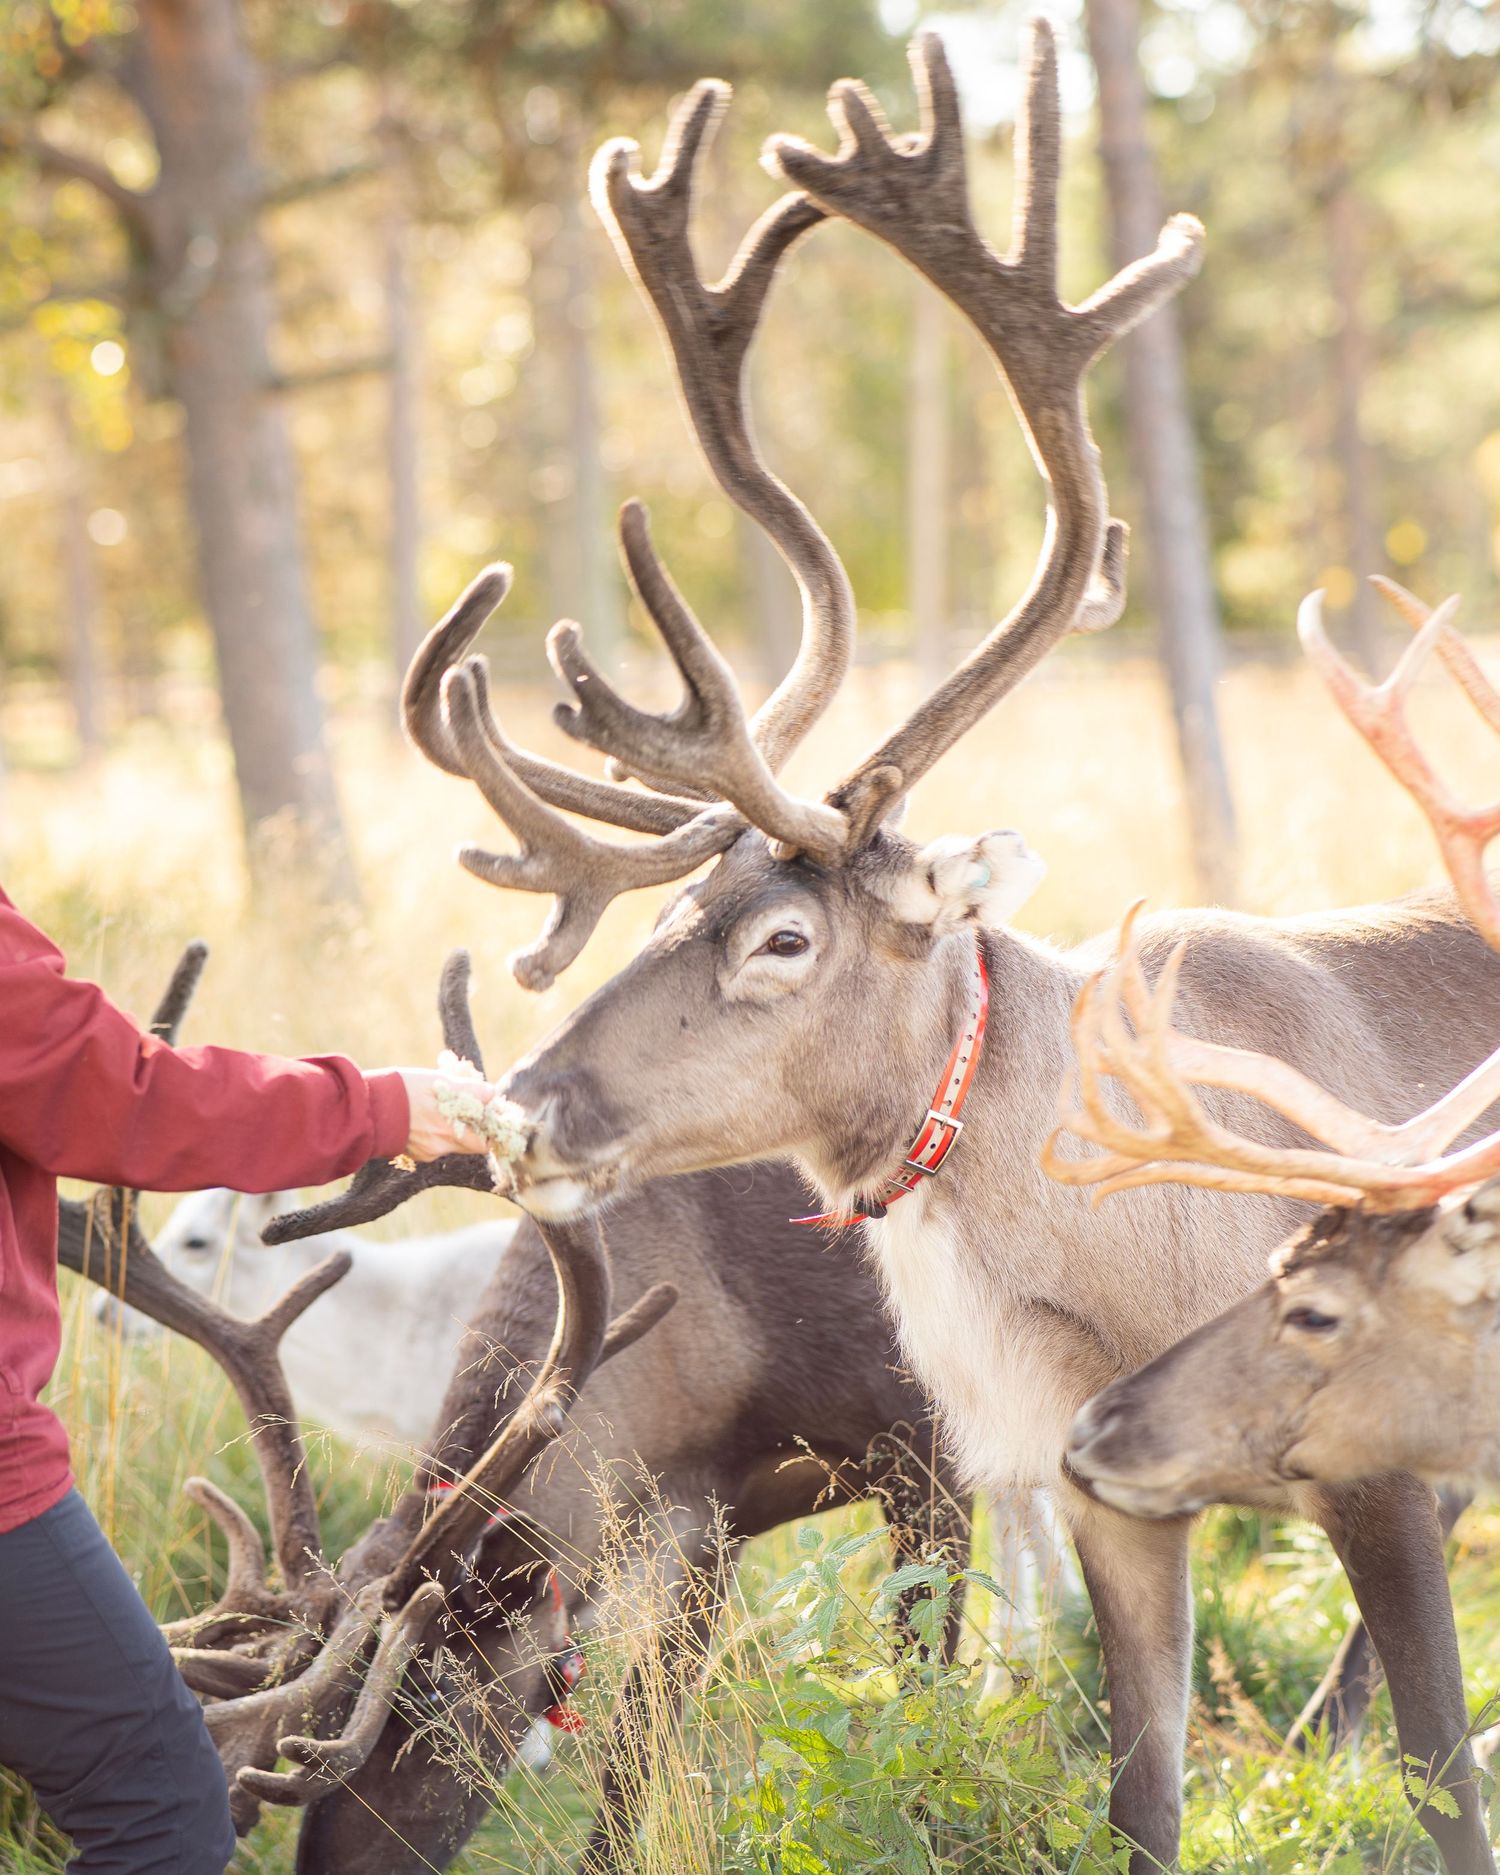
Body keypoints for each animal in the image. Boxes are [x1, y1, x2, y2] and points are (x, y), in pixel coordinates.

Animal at [67, 945, 972, 1873]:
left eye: (432, 1698)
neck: (731, 1332)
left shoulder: (927, 1451)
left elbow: (924, 1704)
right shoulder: (706, 1513)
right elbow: (634, 1754)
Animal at [380, 23, 1500, 1871]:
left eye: (777, 935)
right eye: (669, 908)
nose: (525, 1110)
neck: (1113, 1274)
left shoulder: (1381, 1463)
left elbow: (1443, 1779)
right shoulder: (1098, 1482)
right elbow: (1139, 1795)